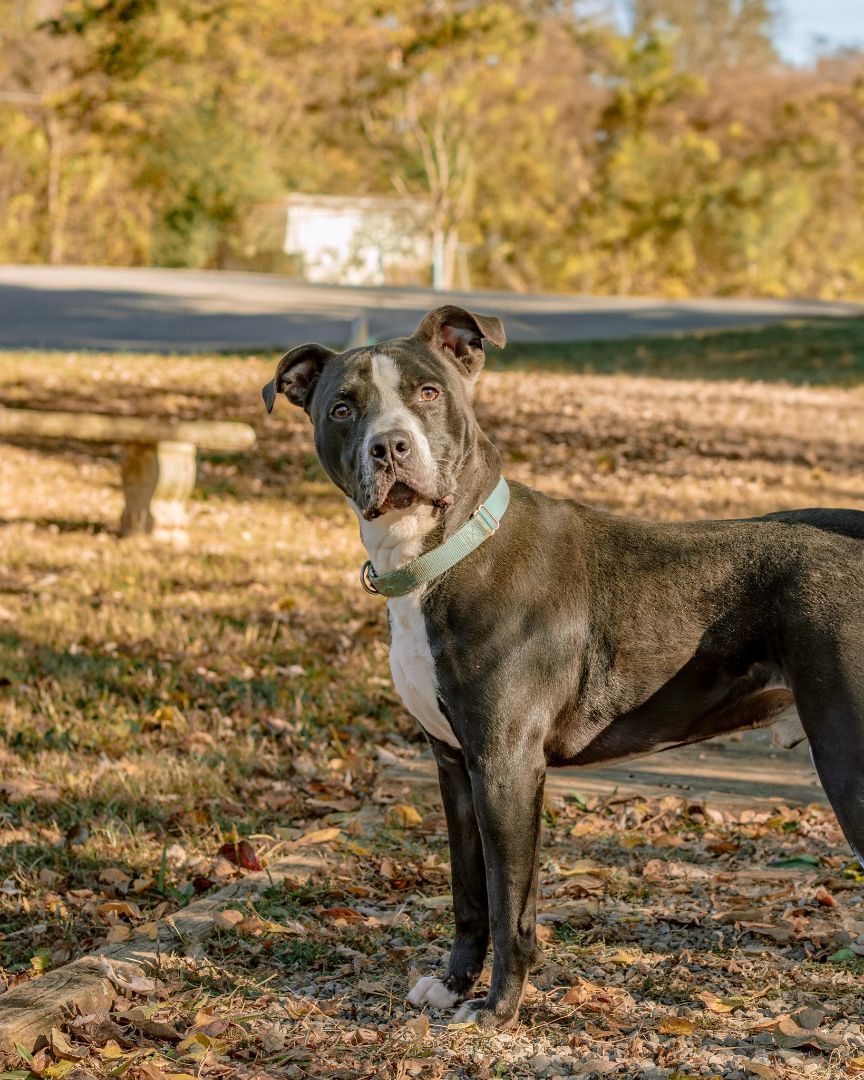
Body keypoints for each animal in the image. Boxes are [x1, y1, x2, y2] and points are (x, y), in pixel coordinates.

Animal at [261, 304, 864, 1028]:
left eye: (427, 393)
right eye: (343, 408)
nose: (391, 448)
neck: (449, 550)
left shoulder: (507, 765)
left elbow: (509, 906)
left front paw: (497, 1010)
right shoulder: (454, 763)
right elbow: (469, 895)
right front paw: (453, 984)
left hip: (851, 759)